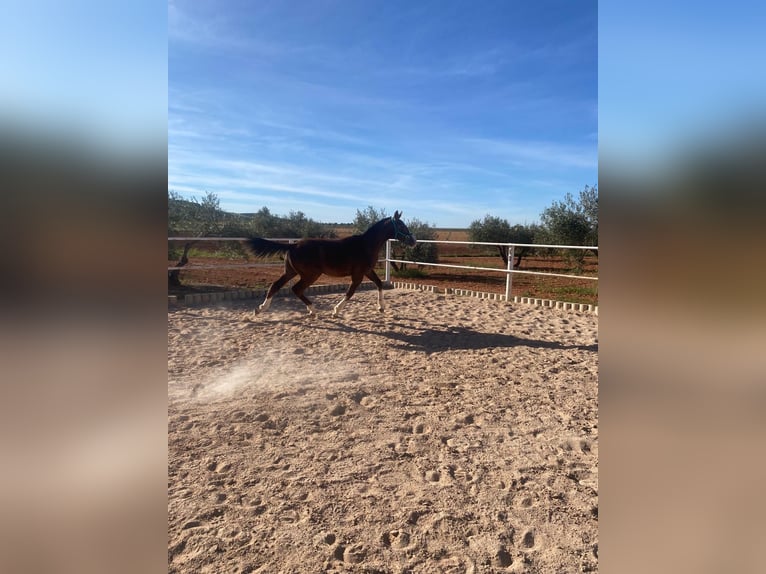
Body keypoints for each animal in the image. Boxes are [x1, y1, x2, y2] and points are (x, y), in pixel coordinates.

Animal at [246, 213, 416, 320]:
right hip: (310, 275)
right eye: (401, 225)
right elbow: (350, 293)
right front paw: (335, 311)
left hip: (291, 272)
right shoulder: (358, 275)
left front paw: (381, 307)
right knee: (296, 289)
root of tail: (293, 245)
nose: (413, 241)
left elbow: (379, 284)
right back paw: (313, 311)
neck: (365, 245)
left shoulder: (367, 271)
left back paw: (260, 309)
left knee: (275, 286)